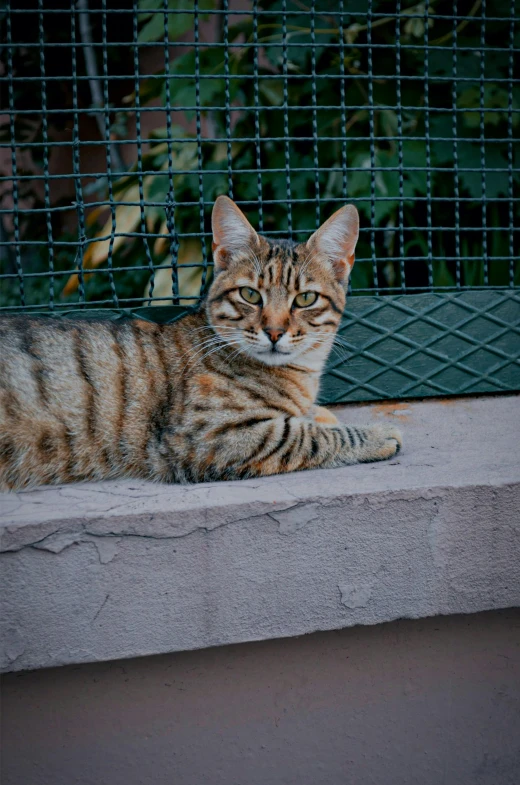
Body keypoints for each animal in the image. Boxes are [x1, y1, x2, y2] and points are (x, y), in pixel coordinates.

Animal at [0, 194, 402, 490]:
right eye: (249, 295)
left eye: (305, 299)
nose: (274, 332)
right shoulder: (207, 436)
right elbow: (305, 435)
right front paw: (374, 434)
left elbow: (308, 417)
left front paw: (321, 413)